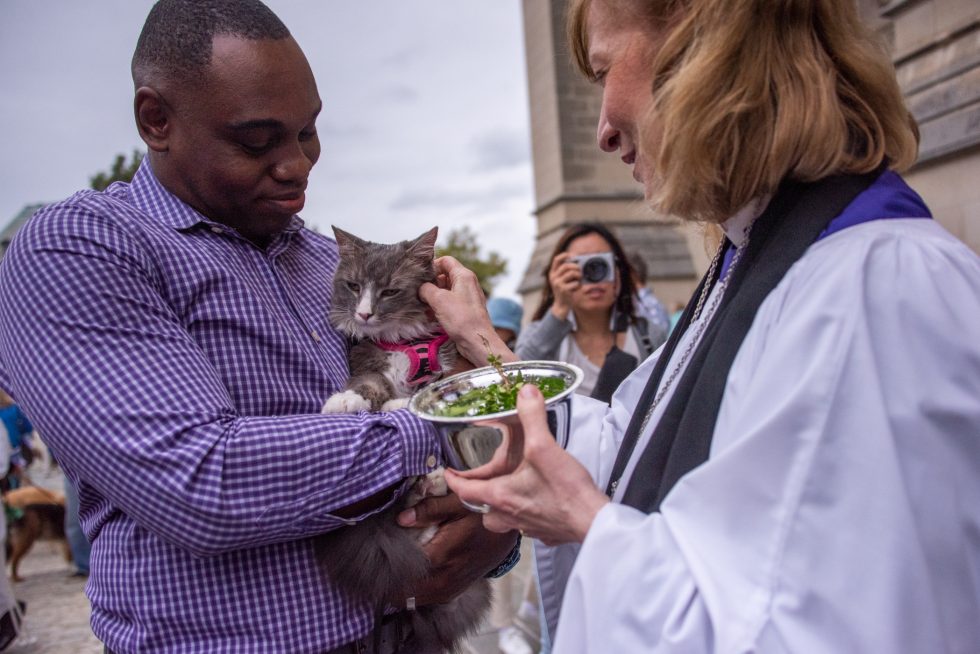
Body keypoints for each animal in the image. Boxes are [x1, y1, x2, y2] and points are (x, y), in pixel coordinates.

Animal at [318, 227, 494, 654]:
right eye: (354, 286)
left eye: (389, 291)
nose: (364, 314)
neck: (401, 343)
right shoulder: (367, 362)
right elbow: (368, 386)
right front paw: (344, 401)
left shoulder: (455, 368)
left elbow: (429, 389)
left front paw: (402, 401)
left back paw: (434, 484)